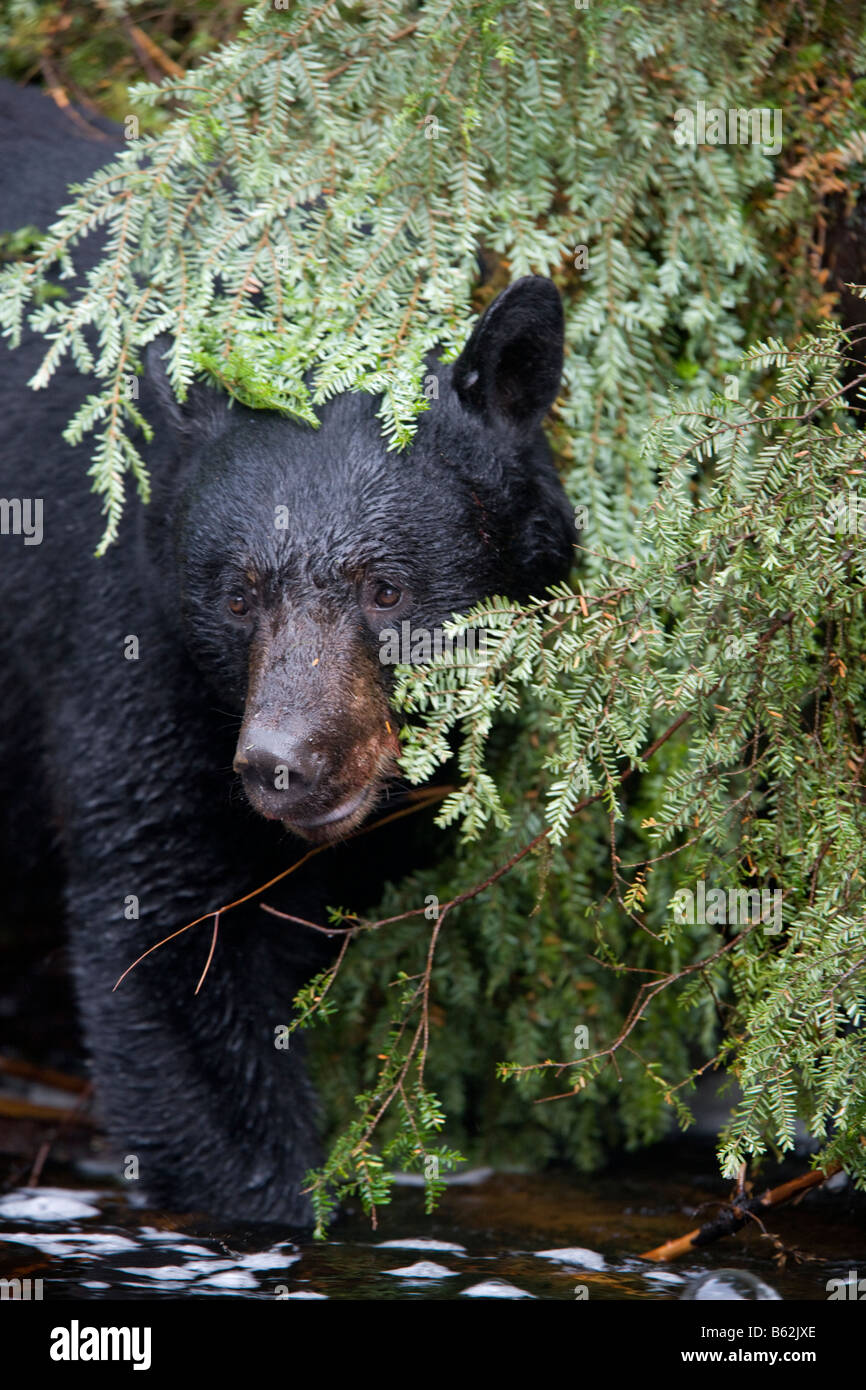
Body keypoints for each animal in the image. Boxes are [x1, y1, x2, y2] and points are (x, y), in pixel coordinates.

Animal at [0, 79, 576, 1223]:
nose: (282, 764)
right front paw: (274, 1196)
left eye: (386, 588)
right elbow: (164, 924)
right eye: (237, 596)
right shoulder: (122, 638)